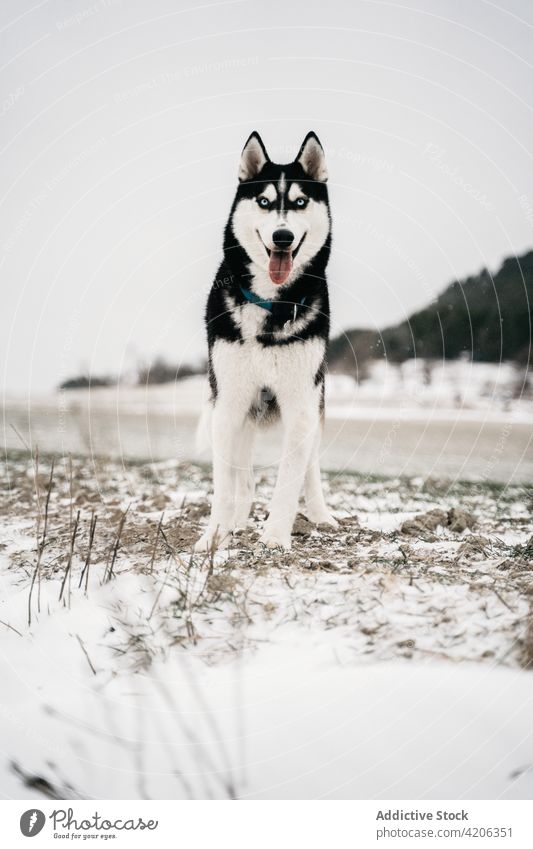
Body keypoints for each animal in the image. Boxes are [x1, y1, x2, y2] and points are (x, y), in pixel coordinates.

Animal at [195, 127, 336, 548]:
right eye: (264, 201)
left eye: (300, 202)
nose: (283, 236)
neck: (272, 304)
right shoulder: (228, 402)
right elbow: (225, 483)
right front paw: (214, 537)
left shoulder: (301, 404)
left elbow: (290, 477)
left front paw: (275, 536)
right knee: (242, 474)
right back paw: (238, 519)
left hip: (314, 401)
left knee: (310, 468)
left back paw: (320, 515)